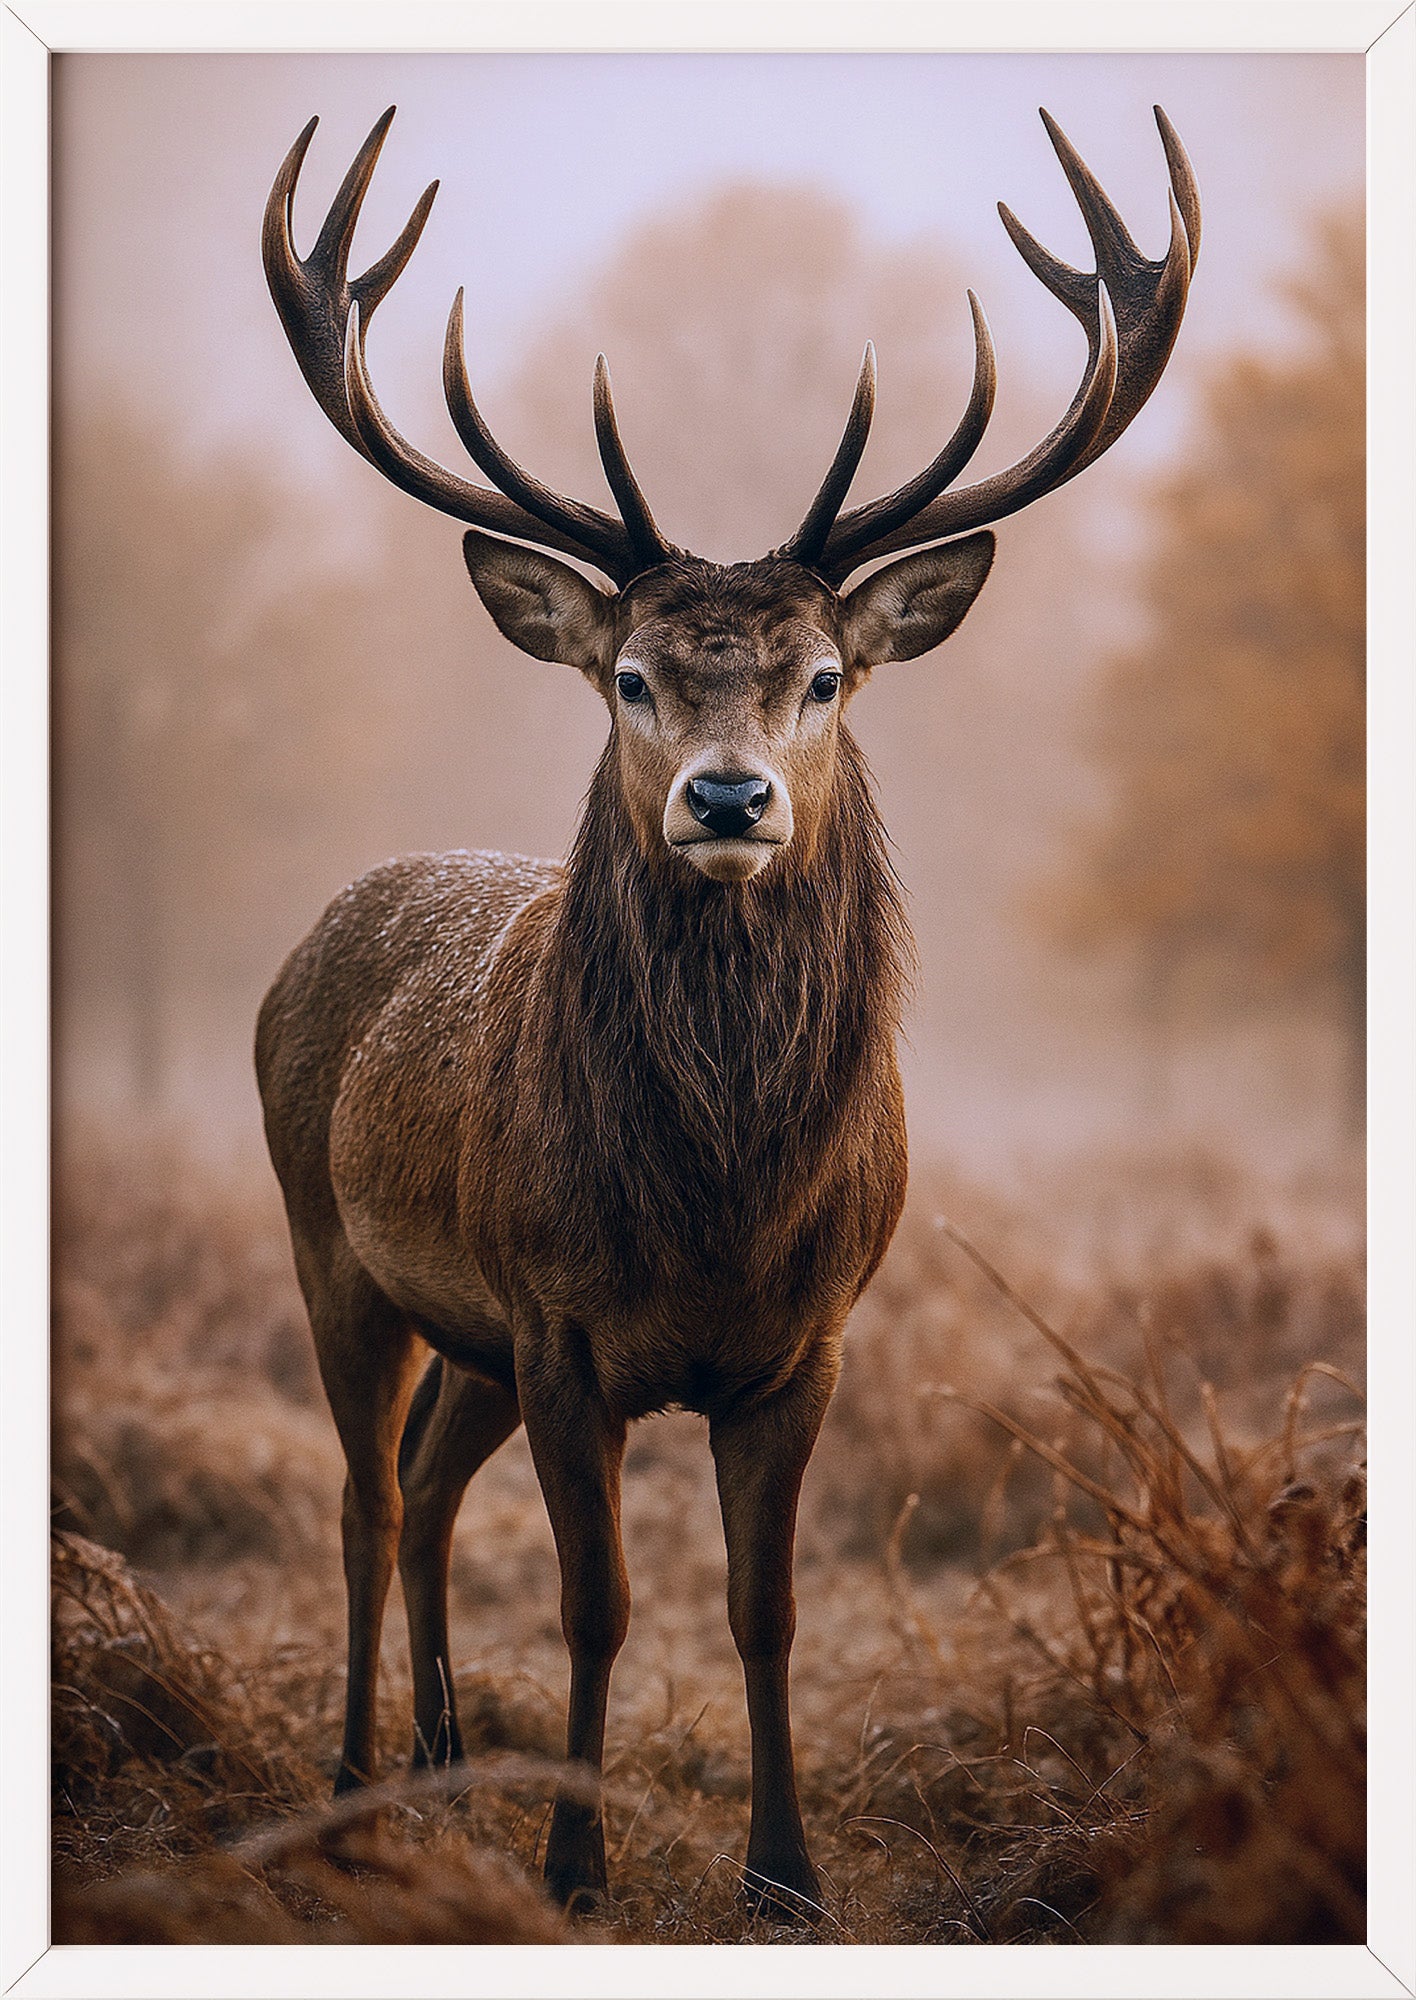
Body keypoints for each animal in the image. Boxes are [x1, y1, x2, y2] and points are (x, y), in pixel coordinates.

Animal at [255, 103, 1199, 1917]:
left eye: (823, 678)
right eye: (630, 679)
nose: (728, 796)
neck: (718, 1209)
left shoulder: (805, 1340)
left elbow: (765, 1610)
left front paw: (787, 1873)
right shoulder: (560, 1324)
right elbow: (598, 1605)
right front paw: (573, 1862)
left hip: (470, 1329)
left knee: (425, 1486)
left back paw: (439, 1762)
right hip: (337, 1248)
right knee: (361, 1497)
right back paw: (349, 1786)